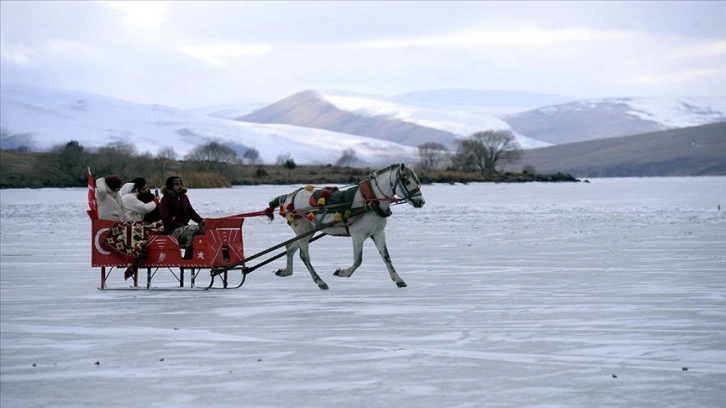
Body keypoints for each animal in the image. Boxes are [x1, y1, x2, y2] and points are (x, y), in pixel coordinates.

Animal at [268, 163, 426, 290]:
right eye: (406, 181)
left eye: (417, 181)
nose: (421, 201)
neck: (370, 200)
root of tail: (288, 196)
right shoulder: (358, 235)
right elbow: (358, 260)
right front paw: (342, 272)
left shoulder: (378, 233)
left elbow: (386, 257)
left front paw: (398, 280)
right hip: (303, 229)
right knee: (304, 255)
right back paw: (320, 281)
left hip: (308, 231)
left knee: (290, 248)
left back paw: (286, 271)